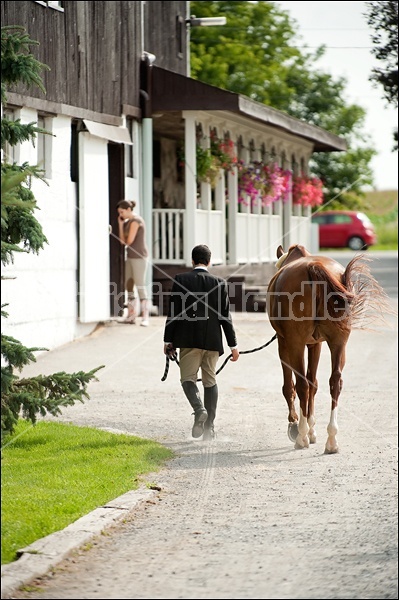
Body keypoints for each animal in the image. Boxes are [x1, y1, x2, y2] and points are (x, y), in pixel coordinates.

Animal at [268, 244, 390, 454]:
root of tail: (314, 266)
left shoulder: (285, 343)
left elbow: (290, 386)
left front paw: (297, 425)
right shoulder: (315, 344)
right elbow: (314, 383)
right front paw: (312, 429)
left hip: (296, 343)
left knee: (301, 385)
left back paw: (301, 436)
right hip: (339, 341)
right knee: (335, 382)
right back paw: (331, 439)